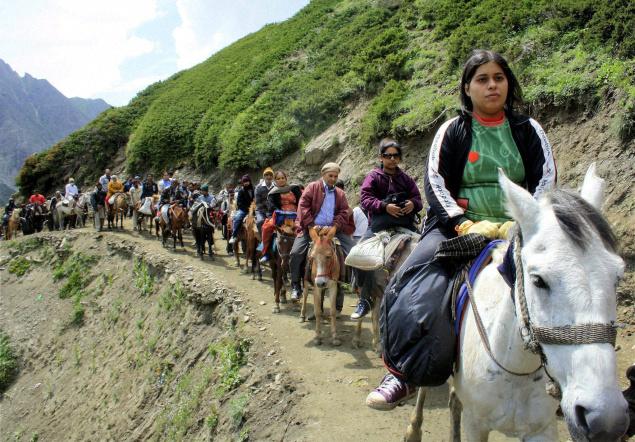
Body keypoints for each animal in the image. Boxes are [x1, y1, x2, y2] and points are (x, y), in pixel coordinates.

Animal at [410, 165, 628, 442]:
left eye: (617, 276)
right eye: (538, 280)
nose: (604, 419)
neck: (515, 367)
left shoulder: (542, 429)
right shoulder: (476, 424)